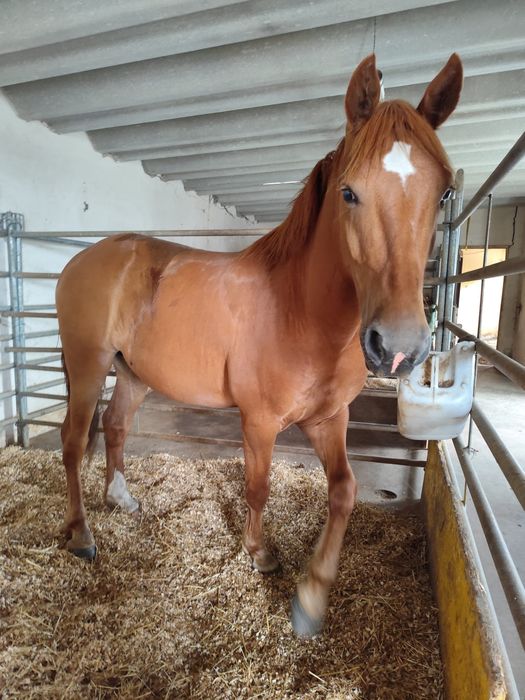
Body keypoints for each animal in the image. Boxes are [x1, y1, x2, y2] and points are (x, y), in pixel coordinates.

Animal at [56, 53, 462, 637]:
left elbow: (344, 491)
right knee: (71, 443)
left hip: (130, 372)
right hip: (88, 366)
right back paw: (82, 535)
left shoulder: (329, 419)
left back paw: (121, 498)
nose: (398, 347)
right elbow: (258, 486)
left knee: (114, 427)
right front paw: (260, 553)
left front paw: (311, 597)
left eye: (443, 193)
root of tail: (83, 259)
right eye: (349, 192)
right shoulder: (260, 422)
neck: (301, 312)